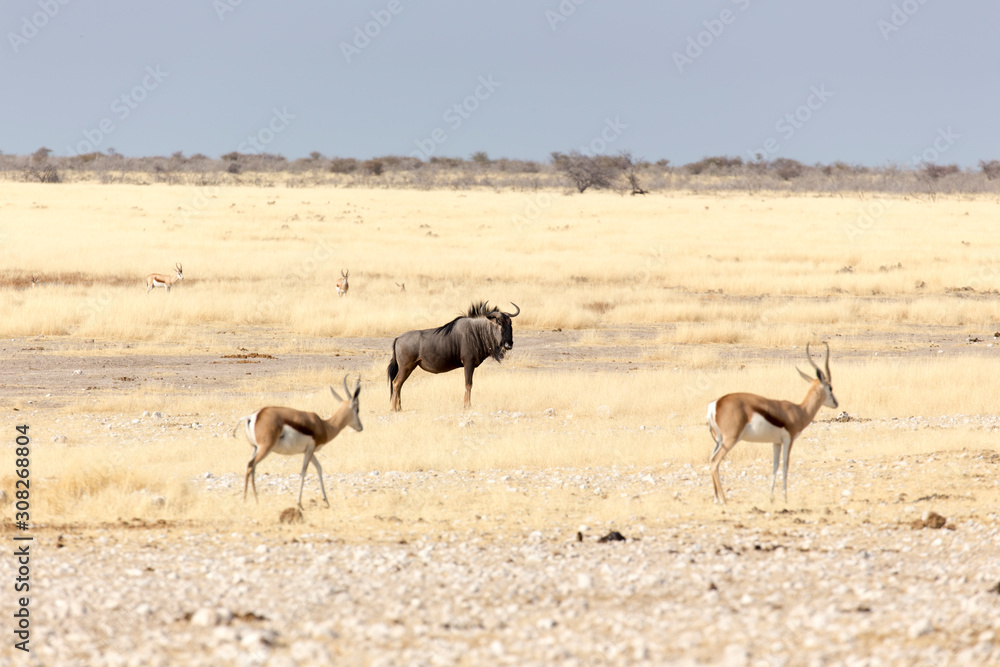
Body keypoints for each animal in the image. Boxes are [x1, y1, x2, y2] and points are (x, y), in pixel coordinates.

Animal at [234, 376, 364, 512]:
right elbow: (303, 471)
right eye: (357, 409)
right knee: (250, 465)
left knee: (252, 468)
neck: (324, 425)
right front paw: (299, 504)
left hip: (255, 448)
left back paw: (256, 500)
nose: (361, 427)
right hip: (265, 448)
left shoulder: (310, 451)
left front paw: (326, 501)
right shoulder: (310, 450)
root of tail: (254, 416)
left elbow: (319, 468)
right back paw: (246, 500)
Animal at [708, 342, 840, 504]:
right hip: (730, 439)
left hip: (719, 439)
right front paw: (784, 498)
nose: (836, 403)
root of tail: (716, 404)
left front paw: (771, 497)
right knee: (714, 461)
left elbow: (775, 465)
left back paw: (716, 499)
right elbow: (785, 465)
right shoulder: (789, 439)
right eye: (830, 387)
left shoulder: (776, 442)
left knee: (711, 460)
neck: (799, 410)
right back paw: (723, 500)